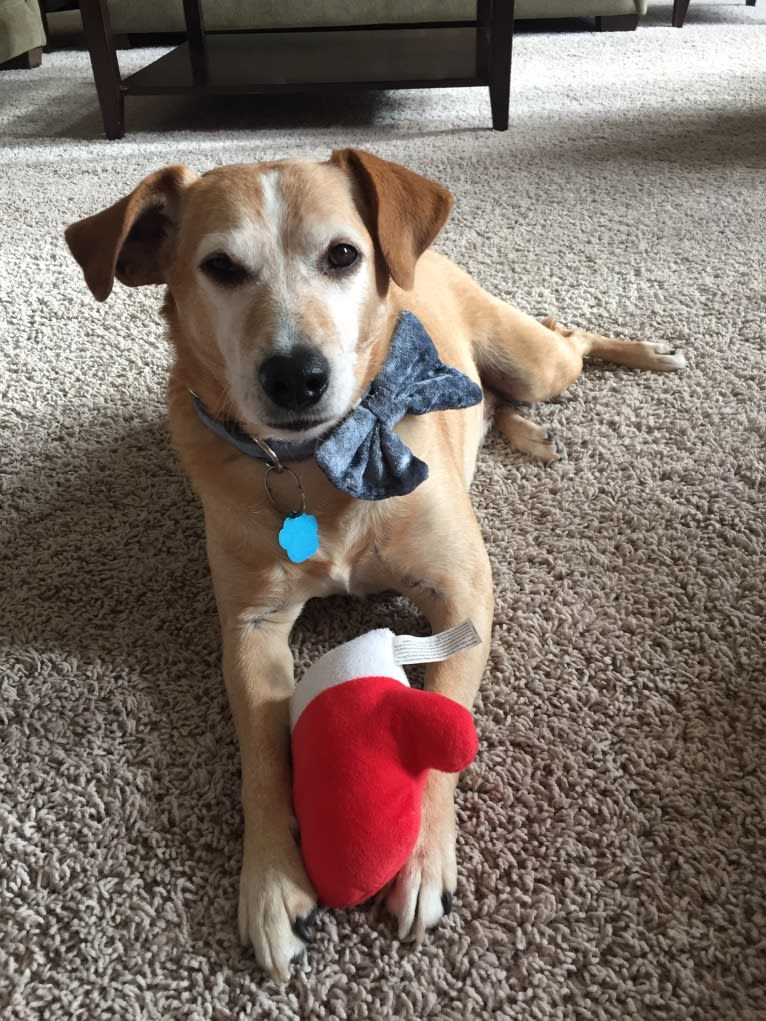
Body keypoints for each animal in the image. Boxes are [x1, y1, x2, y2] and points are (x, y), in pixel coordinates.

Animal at [64, 149, 690, 980]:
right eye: (221, 267)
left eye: (342, 255)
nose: (295, 375)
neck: (319, 464)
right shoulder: (250, 627)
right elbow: (262, 753)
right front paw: (271, 880)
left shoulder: (463, 594)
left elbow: (442, 722)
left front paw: (421, 857)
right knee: (506, 394)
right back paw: (525, 431)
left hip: (537, 362)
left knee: (568, 337)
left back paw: (648, 353)